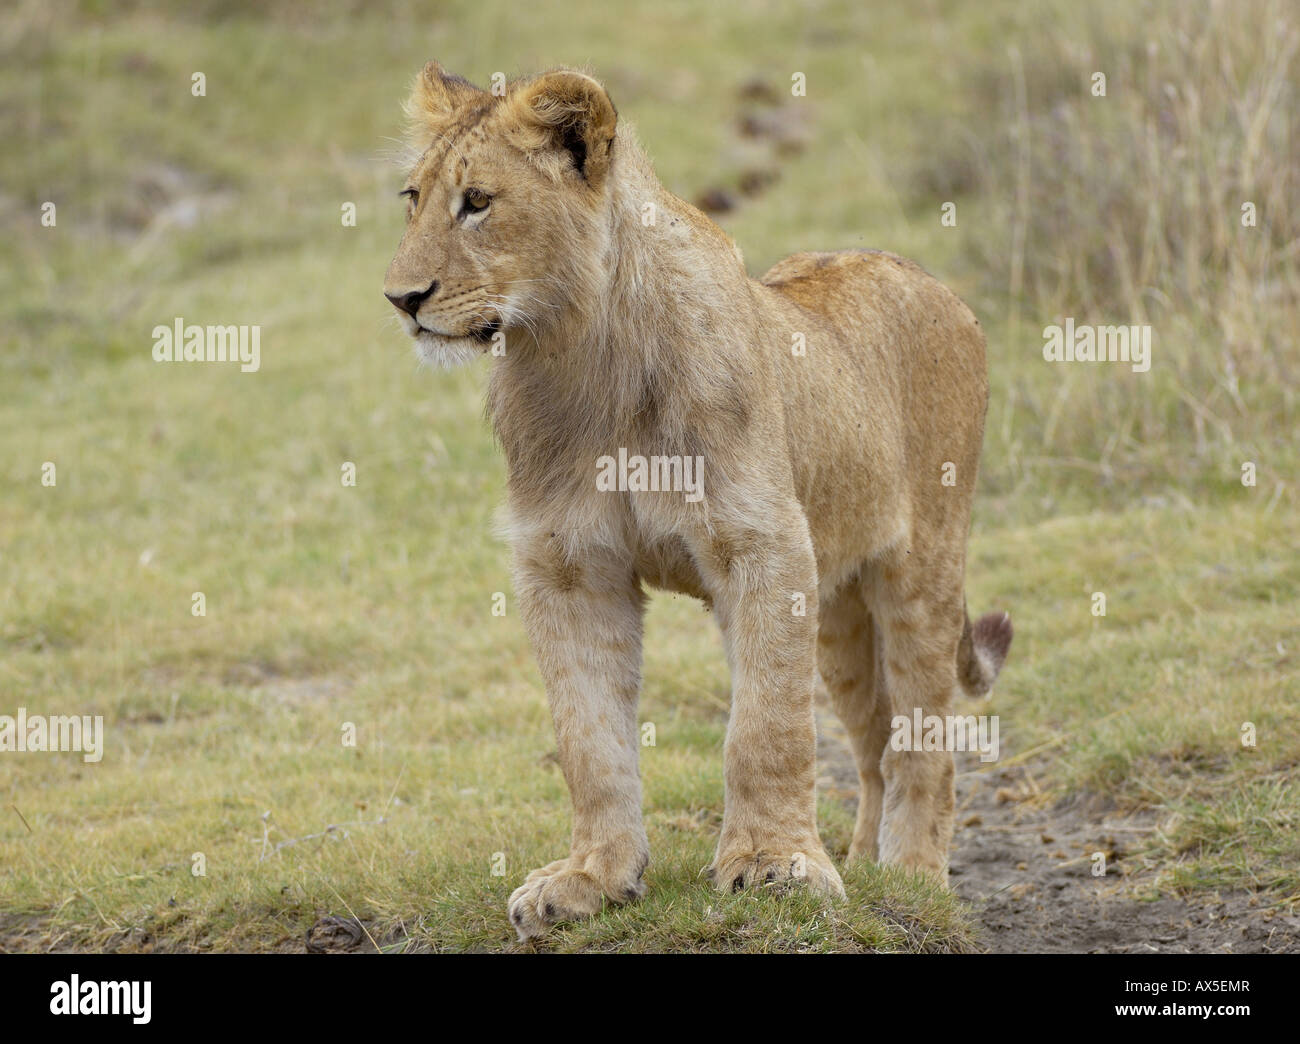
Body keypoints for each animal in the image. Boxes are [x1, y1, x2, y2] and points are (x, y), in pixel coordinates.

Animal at [379, 61, 1008, 941]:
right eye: (414, 197)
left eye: (478, 201)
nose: (402, 298)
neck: (579, 353)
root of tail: (929, 280)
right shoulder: (566, 567)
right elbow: (588, 740)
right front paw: (591, 877)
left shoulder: (765, 547)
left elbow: (765, 729)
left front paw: (776, 866)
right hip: (838, 614)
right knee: (874, 736)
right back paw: (864, 862)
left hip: (922, 568)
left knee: (925, 739)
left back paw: (912, 877)